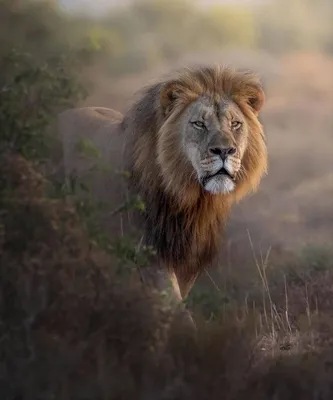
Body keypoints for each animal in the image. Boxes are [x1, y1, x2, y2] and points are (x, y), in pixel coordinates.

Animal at [58, 64, 268, 304]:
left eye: (235, 124)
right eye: (199, 124)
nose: (224, 151)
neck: (192, 200)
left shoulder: (189, 260)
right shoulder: (148, 251)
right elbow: (171, 301)